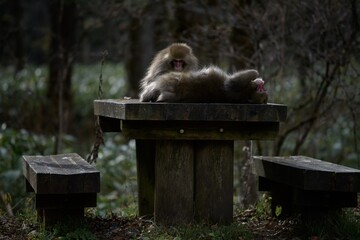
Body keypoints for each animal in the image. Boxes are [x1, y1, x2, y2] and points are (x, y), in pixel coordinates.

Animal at [139, 43, 268, 103]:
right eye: (261, 88)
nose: (262, 83)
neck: (247, 93)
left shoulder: (235, 87)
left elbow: (233, 82)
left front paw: (255, 74)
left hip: (168, 80)